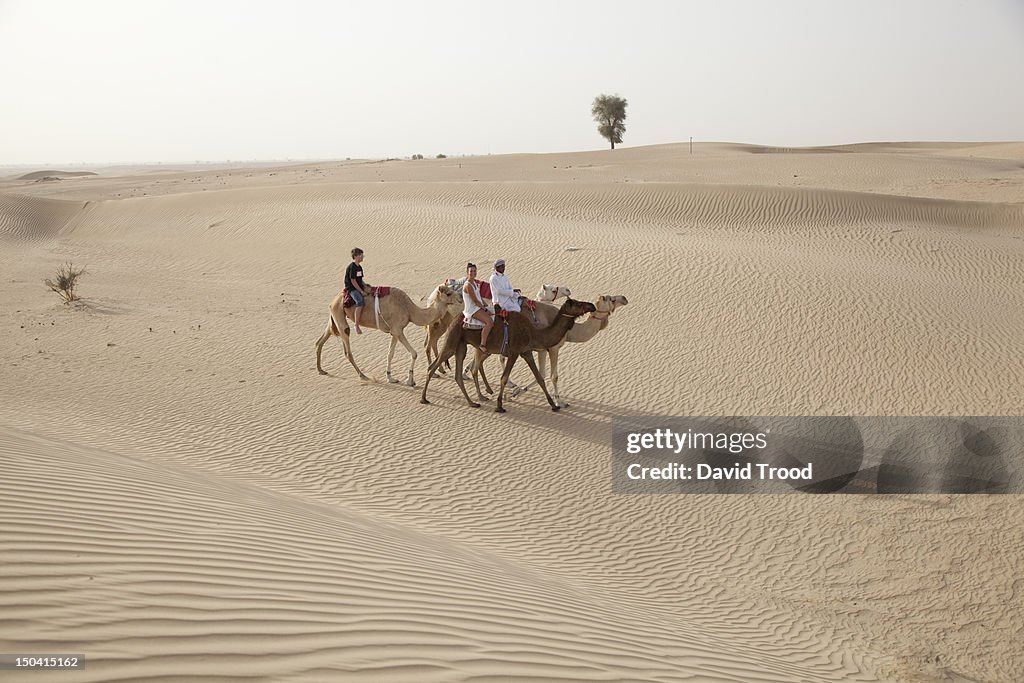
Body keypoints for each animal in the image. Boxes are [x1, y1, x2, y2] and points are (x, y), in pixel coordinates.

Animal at [313, 286, 454, 387]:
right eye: (448, 293)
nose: (458, 299)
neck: (409, 310)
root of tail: (334, 300)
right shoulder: (397, 329)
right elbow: (413, 353)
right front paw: (409, 380)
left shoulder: (395, 331)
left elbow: (391, 354)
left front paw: (392, 377)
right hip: (339, 315)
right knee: (347, 347)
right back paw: (363, 375)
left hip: (335, 316)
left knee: (321, 340)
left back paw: (321, 370)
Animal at [419, 296, 598, 411]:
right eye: (576, 303)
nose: (592, 306)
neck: (534, 332)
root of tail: (456, 318)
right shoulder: (514, 352)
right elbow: (504, 378)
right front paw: (500, 405)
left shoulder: (526, 351)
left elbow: (539, 377)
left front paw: (553, 405)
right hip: (453, 340)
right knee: (433, 366)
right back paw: (424, 398)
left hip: (462, 345)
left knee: (458, 373)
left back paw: (474, 402)